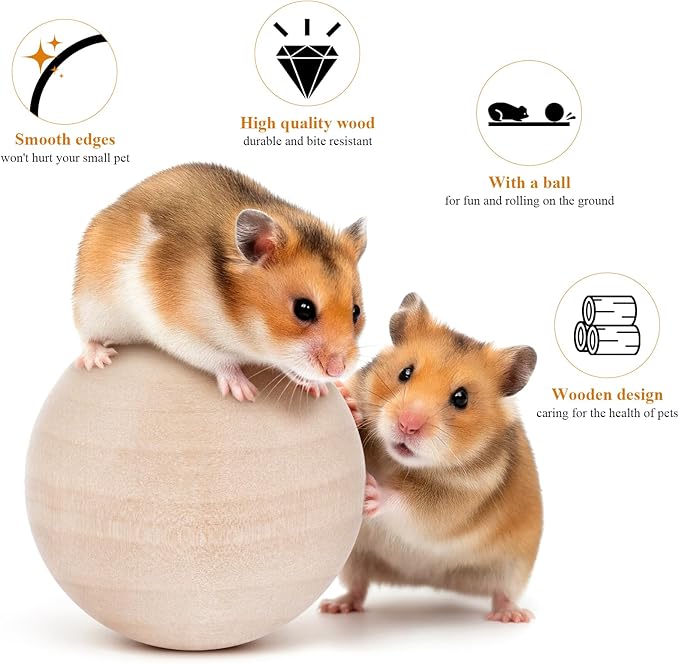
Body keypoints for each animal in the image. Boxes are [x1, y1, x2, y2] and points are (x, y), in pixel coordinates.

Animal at [73, 163, 367, 401]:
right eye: (303, 309)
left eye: (356, 311)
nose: (337, 371)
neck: (238, 318)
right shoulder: (177, 329)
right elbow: (219, 360)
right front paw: (246, 393)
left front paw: (320, 388)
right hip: (91, 307)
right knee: (87, 337)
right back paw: (98, 359)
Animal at [320, 293, 542, 622]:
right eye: (405, 372)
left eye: (461, 398)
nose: (407, 425)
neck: (396, 462)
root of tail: (429, 581)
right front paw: (348, 401)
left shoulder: (457, 500)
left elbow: (409, 502)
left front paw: (370, 492)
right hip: (355, 560)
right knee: (358, 587)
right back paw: (336, 606)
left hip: (513, 567)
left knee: (502, 593)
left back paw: (512, 616)